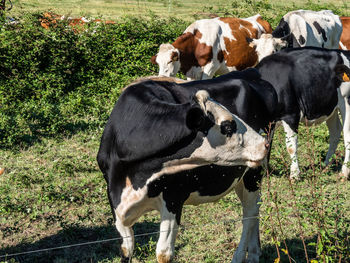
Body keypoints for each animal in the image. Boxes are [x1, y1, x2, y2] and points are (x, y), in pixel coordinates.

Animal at [98, 69, 276, 262]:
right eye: (228, 126)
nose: (264, 144)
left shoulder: (173, 198)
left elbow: (163, 253)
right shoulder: (116, 203)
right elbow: (126, 250)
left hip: (255, 172)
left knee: (250, 213)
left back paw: (240, 256)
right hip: (241, 176)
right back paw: (254, 253)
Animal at [150, 14, 284, 80]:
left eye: (170, 61)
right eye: (158, 63)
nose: (161, 77)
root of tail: (259, 17)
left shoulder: (210, 69)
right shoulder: (192, 72)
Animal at [254, 47, 350, 179]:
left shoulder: (291, 115)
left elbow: (291, 147)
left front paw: (295, 175)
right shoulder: (269, 121)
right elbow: (266, 143)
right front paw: (265, 172)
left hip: (347, 102)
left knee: (347, 135)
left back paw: (344, 172)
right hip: (331, 106)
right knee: (335, 131)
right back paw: (326, 165)